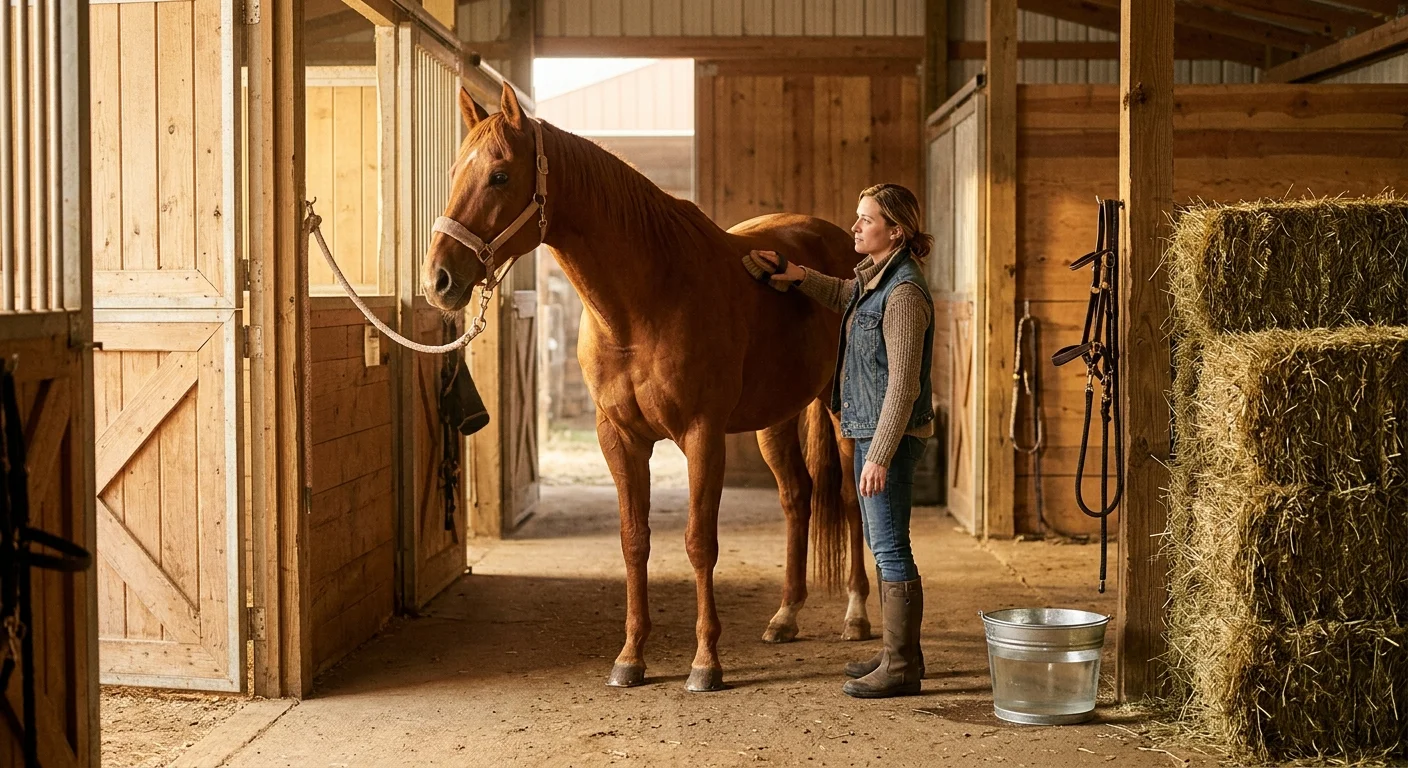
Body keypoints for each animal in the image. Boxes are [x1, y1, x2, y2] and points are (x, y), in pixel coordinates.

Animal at [423, 82, 873, 692]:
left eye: (498, 175)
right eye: (453, 171)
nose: (438, 280)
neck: (646, 300)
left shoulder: (702, 435)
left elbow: (699, 542)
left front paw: (706, 662)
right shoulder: (620, 438)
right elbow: (634, 541)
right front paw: (631, 656)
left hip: (841, 413)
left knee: (850, 499)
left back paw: (855, 615)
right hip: (775, 418)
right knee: (796, 498)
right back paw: (785, 616)